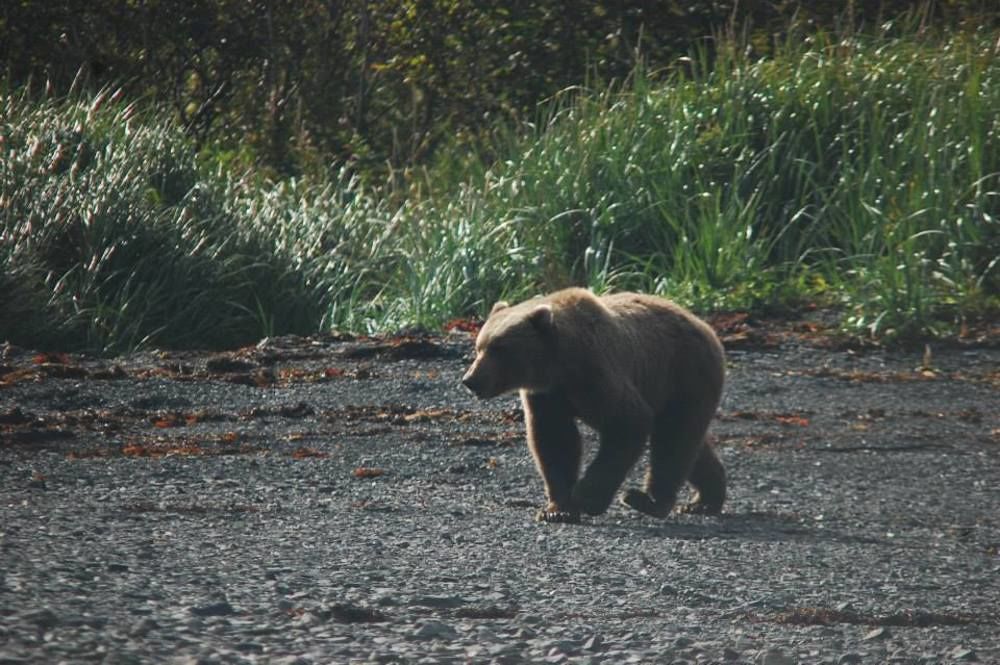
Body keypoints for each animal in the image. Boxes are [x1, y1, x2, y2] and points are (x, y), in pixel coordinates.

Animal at [460, 288, 728, 520]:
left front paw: (586, 497)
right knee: (689, 443)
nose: (471, 380)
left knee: (674, 439)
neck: (559, 367)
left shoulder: (596, 374)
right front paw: (558, 509)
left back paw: (647, 500)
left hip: (684, 373)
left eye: (499, 348)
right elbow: (555, 440)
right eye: (479, 347)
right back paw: (704, 500)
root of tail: (706, 327)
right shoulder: (547, 395)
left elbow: (628, 422)